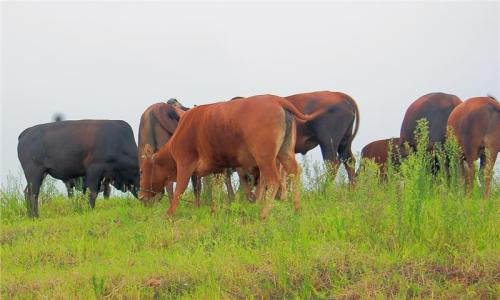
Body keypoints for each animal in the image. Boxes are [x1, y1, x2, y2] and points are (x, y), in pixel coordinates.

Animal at [139, 94, 330, 218]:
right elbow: (215, 190)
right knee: (293, 172)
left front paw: (169, 214)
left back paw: (263, 214)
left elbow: (180, 188)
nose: (141, 196)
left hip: (266, 157)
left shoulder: (185, 163)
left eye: (141, 171)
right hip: (285, 151)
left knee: (274, 180)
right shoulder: (217, 168)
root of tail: (277, 99)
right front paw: (213, 211)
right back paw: (296, 208)